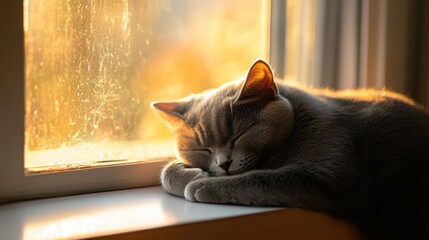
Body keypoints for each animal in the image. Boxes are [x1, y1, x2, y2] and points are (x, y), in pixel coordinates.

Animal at [150, 59, 428, 239]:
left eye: (239, 136)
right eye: (204, 149)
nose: (224, 164)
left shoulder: (324, 172)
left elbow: (258, 178)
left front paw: (200, 185)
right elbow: (166, 171)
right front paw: (191, 175)